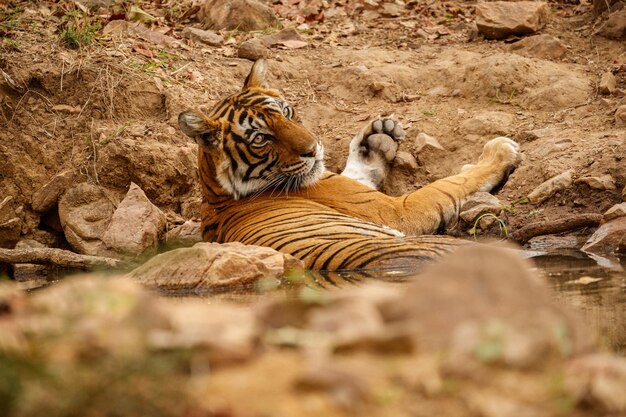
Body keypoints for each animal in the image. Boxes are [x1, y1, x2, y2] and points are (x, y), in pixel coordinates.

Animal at [178, 60, 520, 272]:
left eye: (287, 112)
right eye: (261, 138)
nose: (313, 150)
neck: (215, 192)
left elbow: (360, 169)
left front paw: (377, 139)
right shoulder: (396, 211)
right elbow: (448, 185)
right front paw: (500, 151)